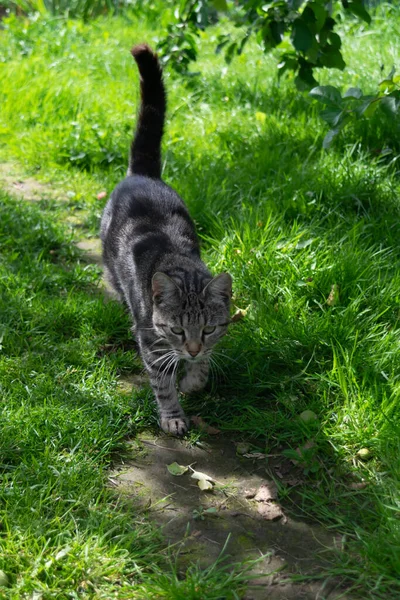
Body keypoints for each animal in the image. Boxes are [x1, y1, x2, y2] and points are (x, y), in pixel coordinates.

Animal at [99, 43, 231, 436]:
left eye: (208, 329)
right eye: (176, 329)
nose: (192, 348)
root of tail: (143, 174)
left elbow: (203, 366)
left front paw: (194, 379)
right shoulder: (153, 343)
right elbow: (162, 383)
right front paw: (172, 415)